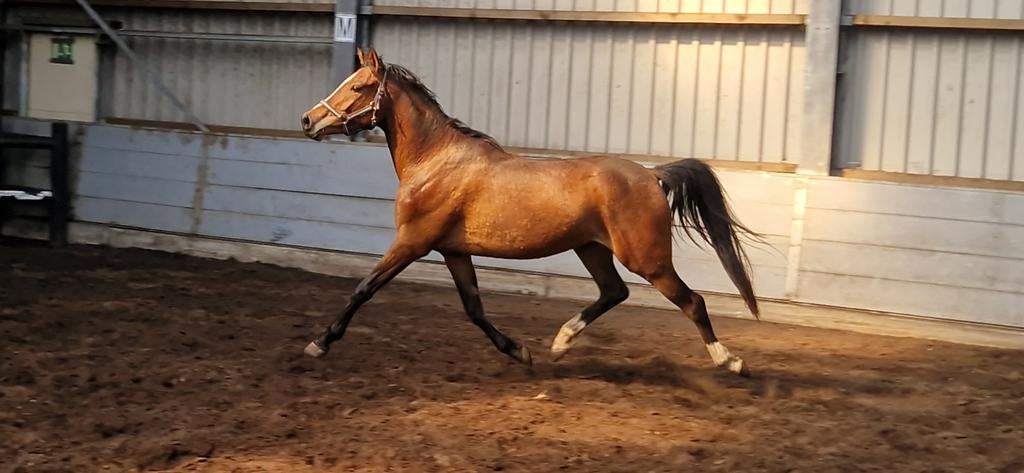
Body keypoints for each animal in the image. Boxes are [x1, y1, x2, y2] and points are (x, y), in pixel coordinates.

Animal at [299, 48, 760, 377]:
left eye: (358, 88)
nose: (307, 120)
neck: (435, 161)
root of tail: (651, 175)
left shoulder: (412, 242)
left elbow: (363, 289)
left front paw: (319, 343)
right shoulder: (453, 251)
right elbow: (474, 309)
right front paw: (520, 351)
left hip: (647, 259)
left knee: (692, 302)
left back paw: (731, 361)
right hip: (592, 248)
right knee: (614, 292)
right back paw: (560, 342)